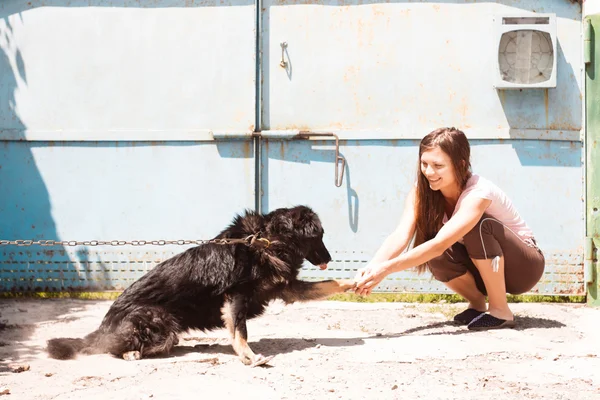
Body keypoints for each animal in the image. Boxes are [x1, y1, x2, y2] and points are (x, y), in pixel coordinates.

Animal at [48, 206, 356, 366]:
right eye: (319, 236)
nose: (330, 258)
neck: (267, 240)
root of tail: (104, 325)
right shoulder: (236, 296)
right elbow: (240, 331)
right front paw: (248, 357)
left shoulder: (287, 288)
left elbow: (331, 283)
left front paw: (356, 282)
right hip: (157, 318)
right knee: (111, 347)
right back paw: (131, 352)